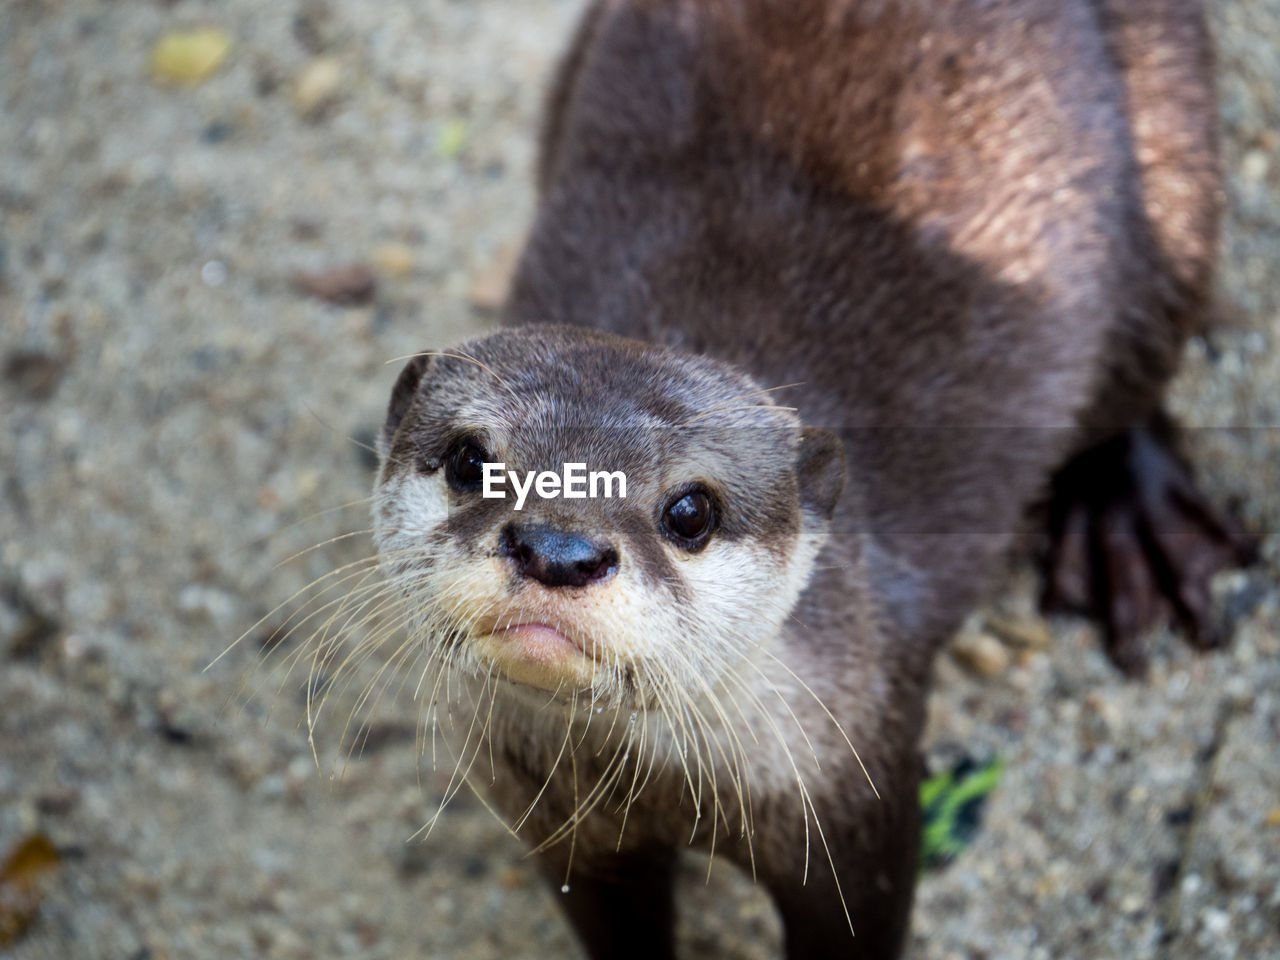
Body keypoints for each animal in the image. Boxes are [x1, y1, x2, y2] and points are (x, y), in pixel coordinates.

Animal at [368, 3, 1249, 957]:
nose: (558, 551)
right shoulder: (564, 831)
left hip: (1169, 158)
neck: (656, 787)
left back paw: (1136, 529)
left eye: (690, 510)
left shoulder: (862, 800)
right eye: (470, 460)